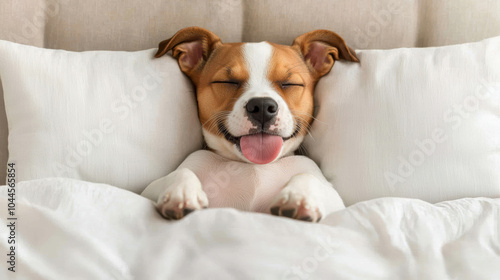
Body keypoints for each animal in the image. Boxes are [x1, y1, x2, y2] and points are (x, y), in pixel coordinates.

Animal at [141, 26, 360, 223]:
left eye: (290, 84)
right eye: (227, 82)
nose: (262, 106)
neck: (252, 166)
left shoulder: (335, 200)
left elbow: (308, 176)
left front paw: (299, 198)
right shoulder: (148, 190)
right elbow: (181, 171)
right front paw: (181, 193)